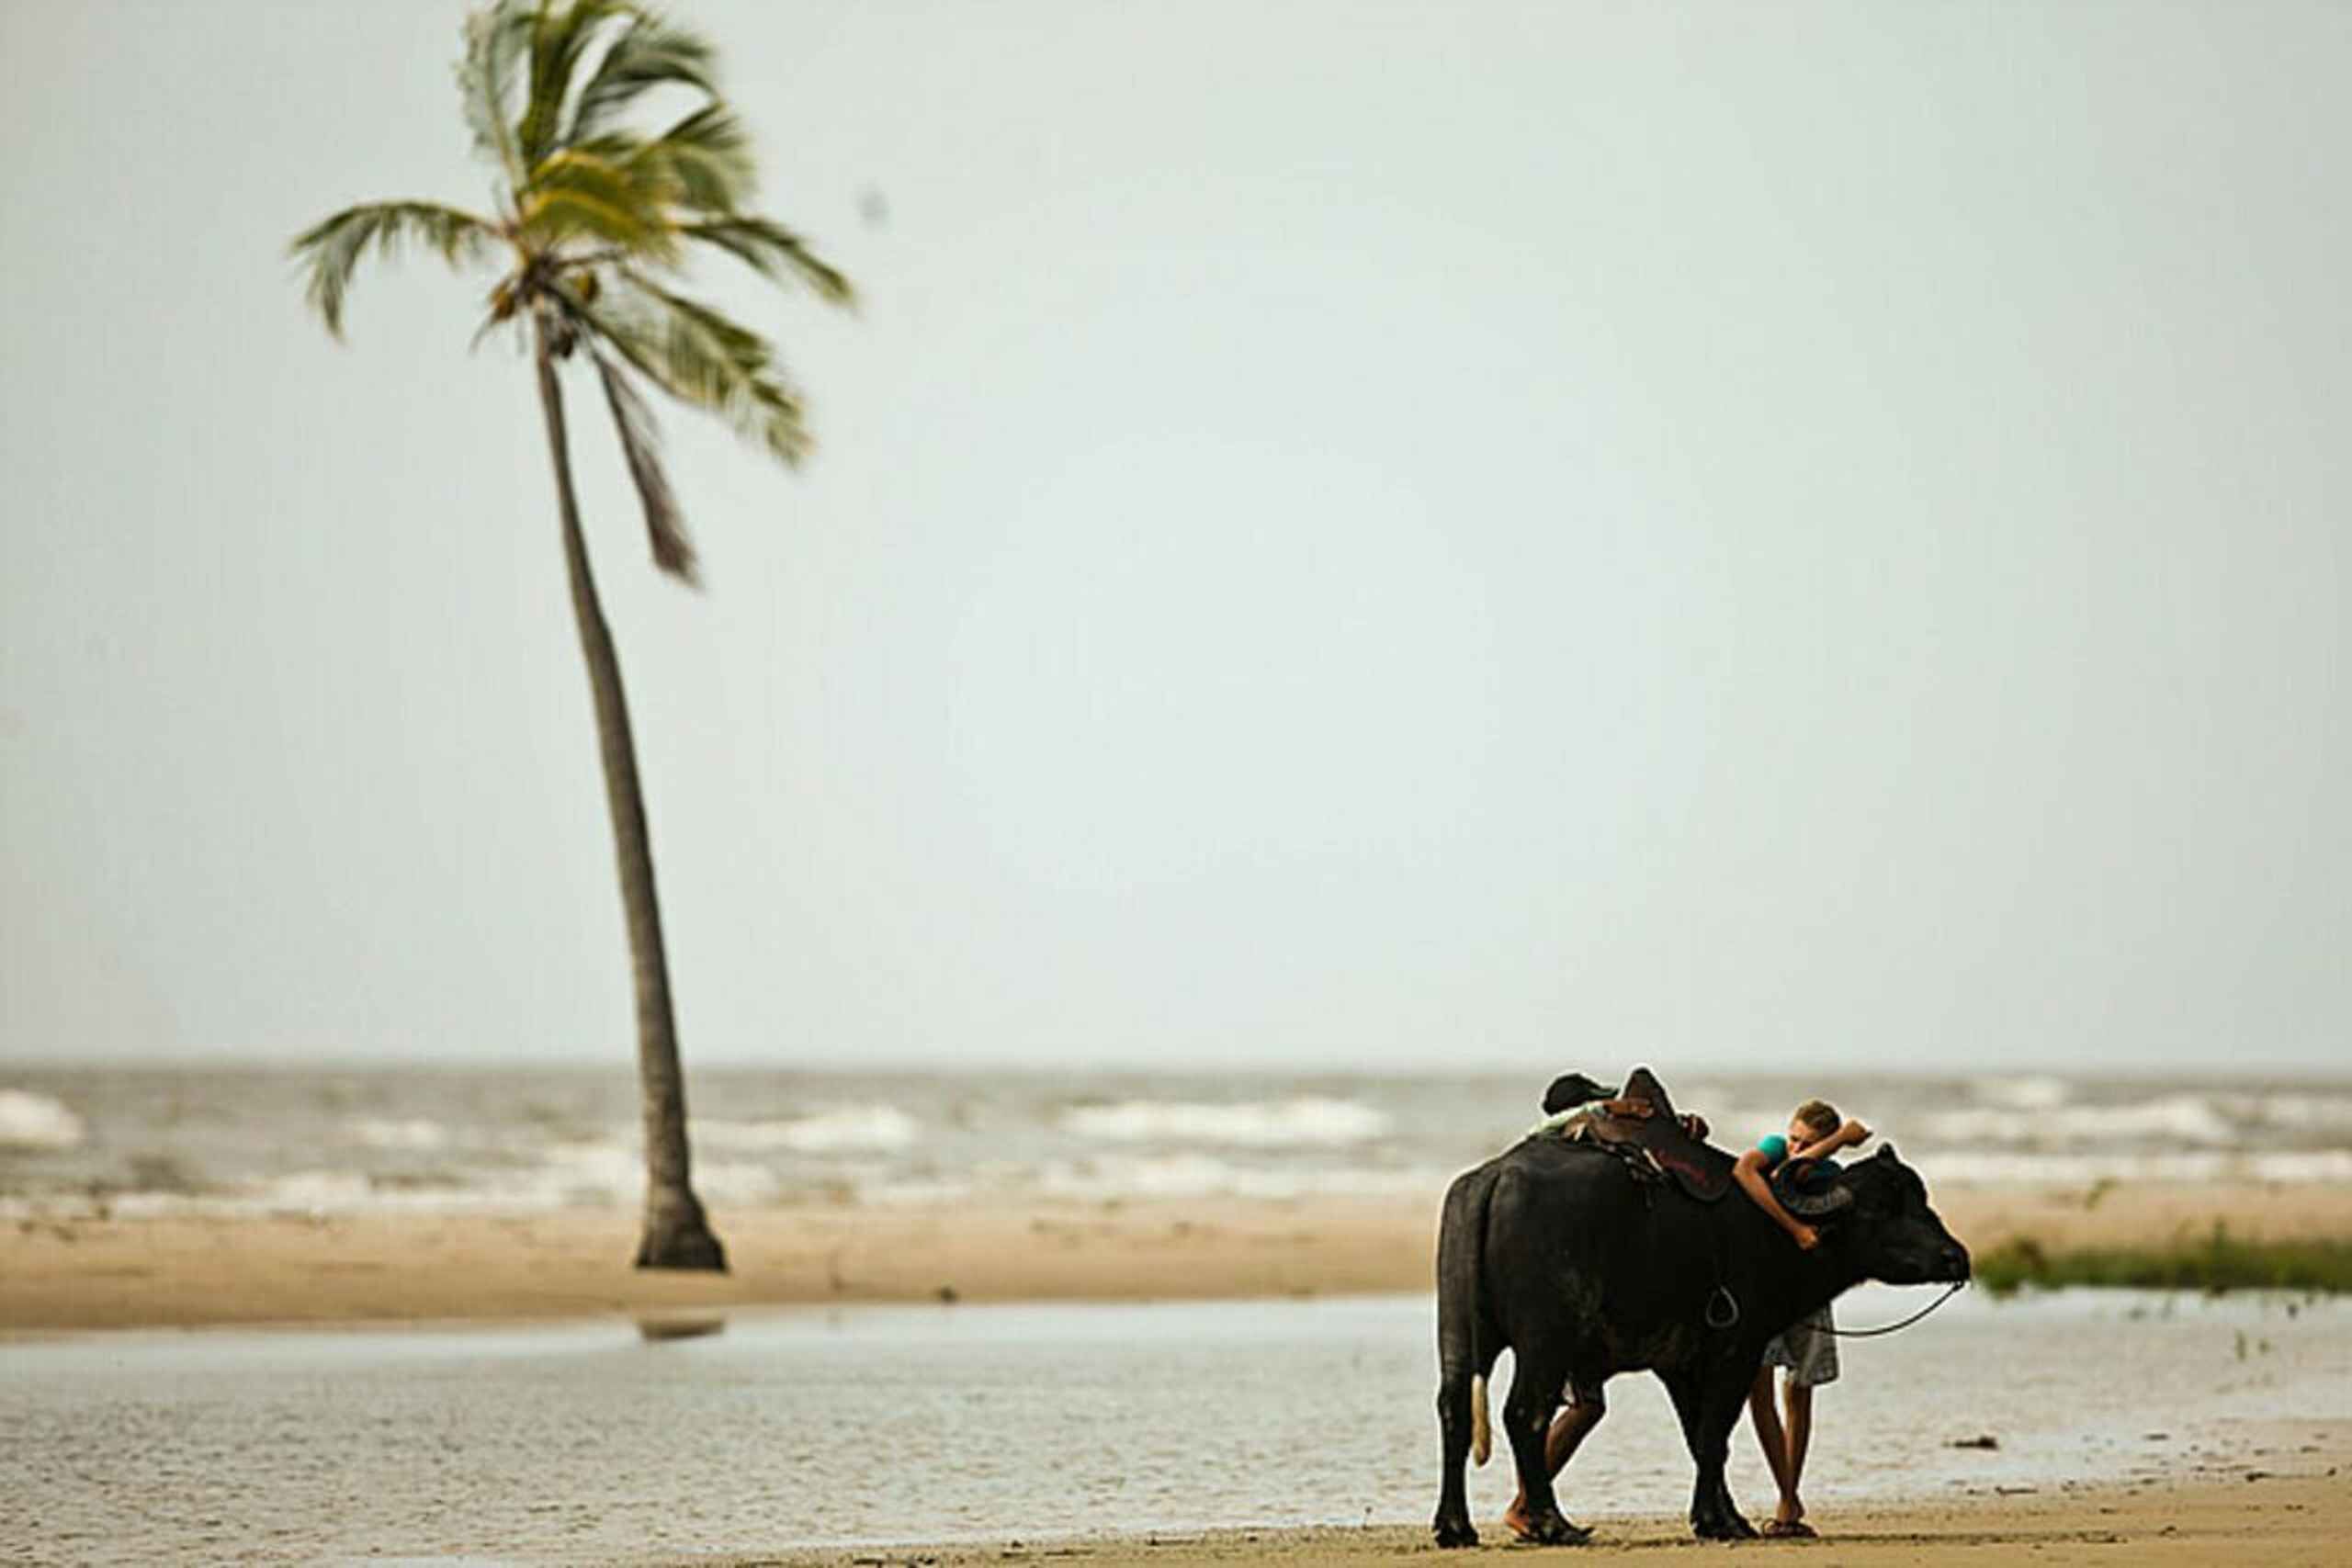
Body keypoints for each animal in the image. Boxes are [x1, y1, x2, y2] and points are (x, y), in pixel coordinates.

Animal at [1431, 1127, 1970, 1546]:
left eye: (1922, 1200)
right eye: (1882, 1209)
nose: (1955, 1257)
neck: (1775, 1229)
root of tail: (1495, 1177)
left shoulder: (1678, 1363)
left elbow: (1699, 1435)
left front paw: (1725, 1517)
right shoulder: (1738, 1349)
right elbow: (1715, 1433)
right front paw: (1717, 1522)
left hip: (1458, 1333)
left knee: (1454, 1409)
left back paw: (1455, 1527)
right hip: (1547, 1342)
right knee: (1525, 1413)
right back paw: (1552, 1523)